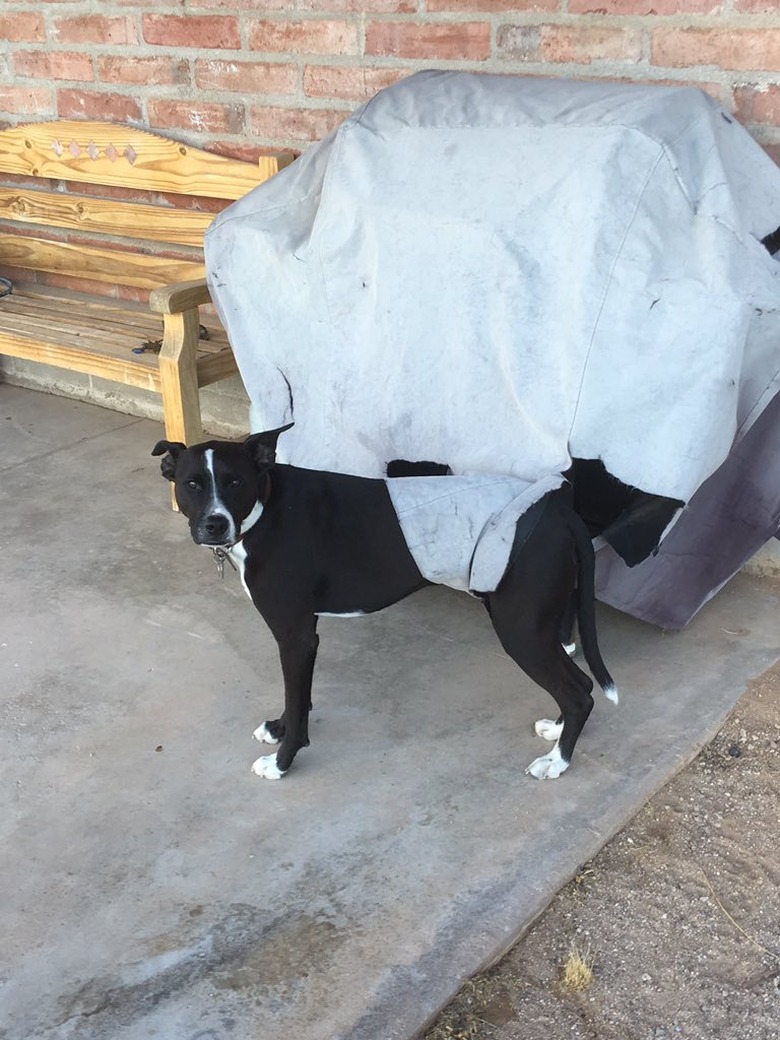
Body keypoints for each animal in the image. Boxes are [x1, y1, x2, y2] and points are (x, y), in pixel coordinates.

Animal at [150, 424, 615, 782]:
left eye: (235, 482)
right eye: (192, 484)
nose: (215, 524)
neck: (269, 505)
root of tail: (556, 509)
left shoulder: (295, 636)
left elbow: (298, 703)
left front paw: (283, 762)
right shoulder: (300, 637)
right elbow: (295, 697)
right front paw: (279, 728)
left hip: (521, 631)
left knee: (580, 692)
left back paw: (557, 762)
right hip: (541, 628)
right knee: (577, 682)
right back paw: (557, 730)